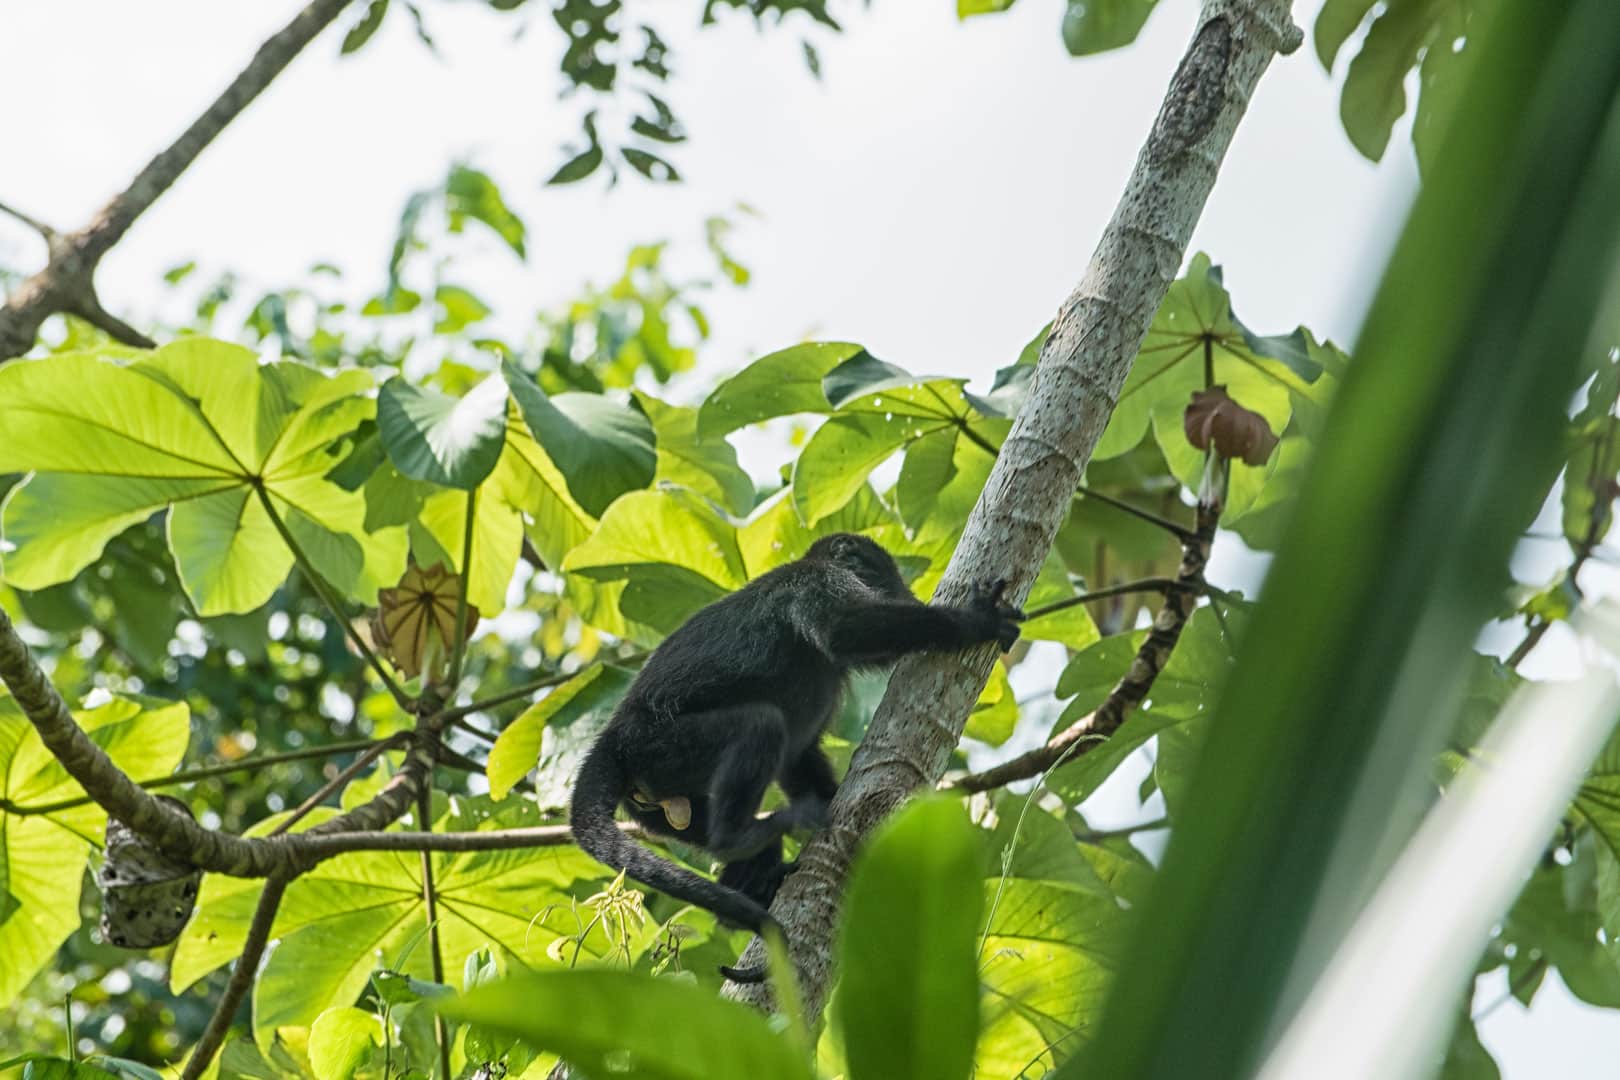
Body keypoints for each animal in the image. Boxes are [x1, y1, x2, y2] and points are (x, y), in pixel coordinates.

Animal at [570, 531, 1023, 977]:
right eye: (885, 576)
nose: (907, 594)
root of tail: (616, 737)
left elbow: (798, 754)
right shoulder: (816, 582)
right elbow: (845, 630)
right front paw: (976, 620)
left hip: (660, 807)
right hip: (663, 745)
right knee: (762, 725)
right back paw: (737, 836)